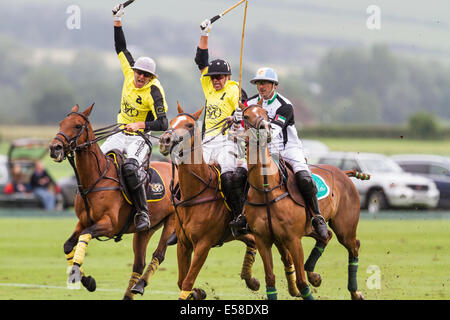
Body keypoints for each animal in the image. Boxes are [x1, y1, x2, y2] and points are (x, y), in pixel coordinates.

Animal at [48, 103, 178, 300]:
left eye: (78, 126)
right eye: (61, 123)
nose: (54, 148)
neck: (95, 179)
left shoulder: (109, 224)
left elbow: (85, 235)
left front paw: (81, 277)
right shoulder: (83, 221)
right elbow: (68, 245)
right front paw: (87, 281)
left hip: (171, 221)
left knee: (159, 254)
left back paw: (140, 285)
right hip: (145, 229)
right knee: (139, 262)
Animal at [158, 103, 260, 300]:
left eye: (190, 125)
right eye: (172, 121)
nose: (165, 140)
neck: (196, 192)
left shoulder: (203, 245)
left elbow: (187, 282)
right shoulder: (183, 244)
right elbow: (181, 281)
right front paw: (198, 292)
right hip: (238, 233)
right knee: (252, 241)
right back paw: (251, 280)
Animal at [241, 102, 368, 300]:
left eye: (266, 115)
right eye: (246, 116)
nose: (265, 129)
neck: (267, 189)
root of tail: (342, 172)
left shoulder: (293, 239)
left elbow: (301, 282)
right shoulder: (263, 240)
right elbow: (270, 280)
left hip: (345, 227)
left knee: (353, 246)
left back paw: (354, 292)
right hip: (310, 228)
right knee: (326, 236)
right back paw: (314, 275)